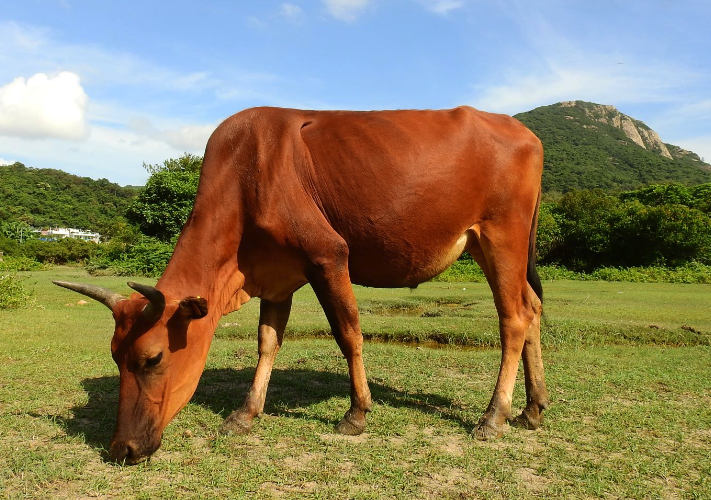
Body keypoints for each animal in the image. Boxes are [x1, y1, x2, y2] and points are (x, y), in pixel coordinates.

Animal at [55, 105, 552, 464]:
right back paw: (533, 407)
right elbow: (267, 342)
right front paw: (246, 412)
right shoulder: (276, 278)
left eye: (152, 358)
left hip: (502, 236)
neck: (245, 172)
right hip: (486, 244)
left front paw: (356, 413)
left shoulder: (328, 255)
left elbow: (348, 333)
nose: (122, 449)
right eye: (115, 357)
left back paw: (494, 416)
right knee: (531, 308)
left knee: (513, 317)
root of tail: (522, 130)